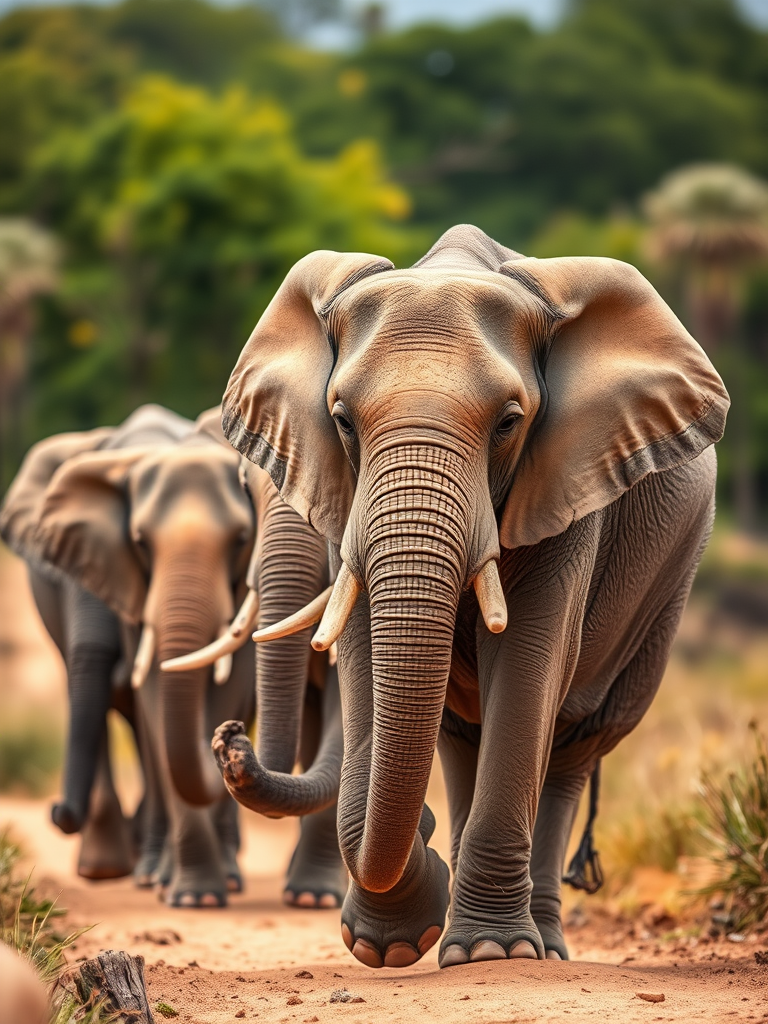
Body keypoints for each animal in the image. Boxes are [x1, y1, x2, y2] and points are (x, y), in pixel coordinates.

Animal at [210, 225, 729, 966]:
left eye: (509, 423)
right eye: (342, 420)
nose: (228, 740)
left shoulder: (568, 480)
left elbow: (530, 660)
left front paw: (489, 951)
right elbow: (364, 660)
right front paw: (391, 946)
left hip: (668, 589)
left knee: (574, 748)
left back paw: (538, 946)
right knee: (460, 738)